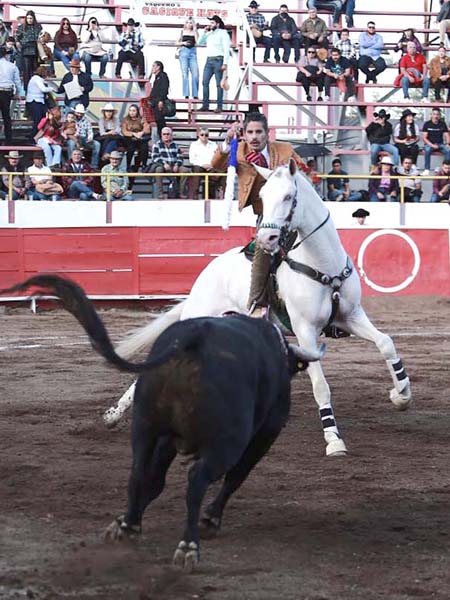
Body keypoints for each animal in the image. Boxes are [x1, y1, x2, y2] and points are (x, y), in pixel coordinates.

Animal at [0, 276, 324, 572]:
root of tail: (193, 338)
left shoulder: (167, 439)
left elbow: (154, 481)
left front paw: (124, 521)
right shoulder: (263, 436)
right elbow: (235, 478)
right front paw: (210, 520)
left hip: (145, 427)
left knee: (138, 472)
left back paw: (129, 526)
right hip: (227, 443)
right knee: (198, 480)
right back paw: (189, 546)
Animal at [105, 159, 412, 454]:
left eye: (288, 196)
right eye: (262, 196)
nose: (266, 239)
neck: (323, 266)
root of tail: (207, 273)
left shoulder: (351, 316)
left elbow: (386, 343)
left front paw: (401, 395)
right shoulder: (305, 332)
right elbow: (321, 387)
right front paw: (334, 440)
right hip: (200, 315)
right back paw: (116, 414)